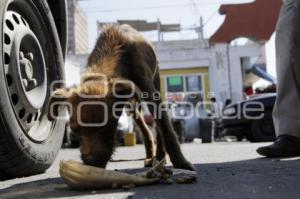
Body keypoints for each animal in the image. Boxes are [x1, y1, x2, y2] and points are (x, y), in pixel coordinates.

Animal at [48, 24, 195, 171]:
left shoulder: (150, 94)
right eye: (75, 130)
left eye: (106, 127)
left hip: (155, 83)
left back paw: (159, 156)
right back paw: (150, 156)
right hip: (132, 107)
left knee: (159, 127)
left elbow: (167, 130)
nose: (91, 163)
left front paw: (181, 162)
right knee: (145, 130)